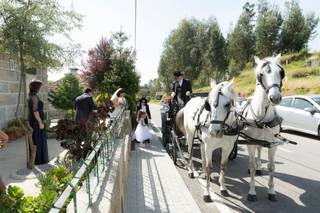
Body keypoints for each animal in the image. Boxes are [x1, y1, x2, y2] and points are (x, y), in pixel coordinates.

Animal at [241, 53, 286, 201]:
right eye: (261, 74)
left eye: (281, 72)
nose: (275, 97)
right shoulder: (250, 142)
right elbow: (251, 165)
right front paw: (252, 192)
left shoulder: (273, 144)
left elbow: (272, 167)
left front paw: (271, 191)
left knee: (260, 150)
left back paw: (260, 167)